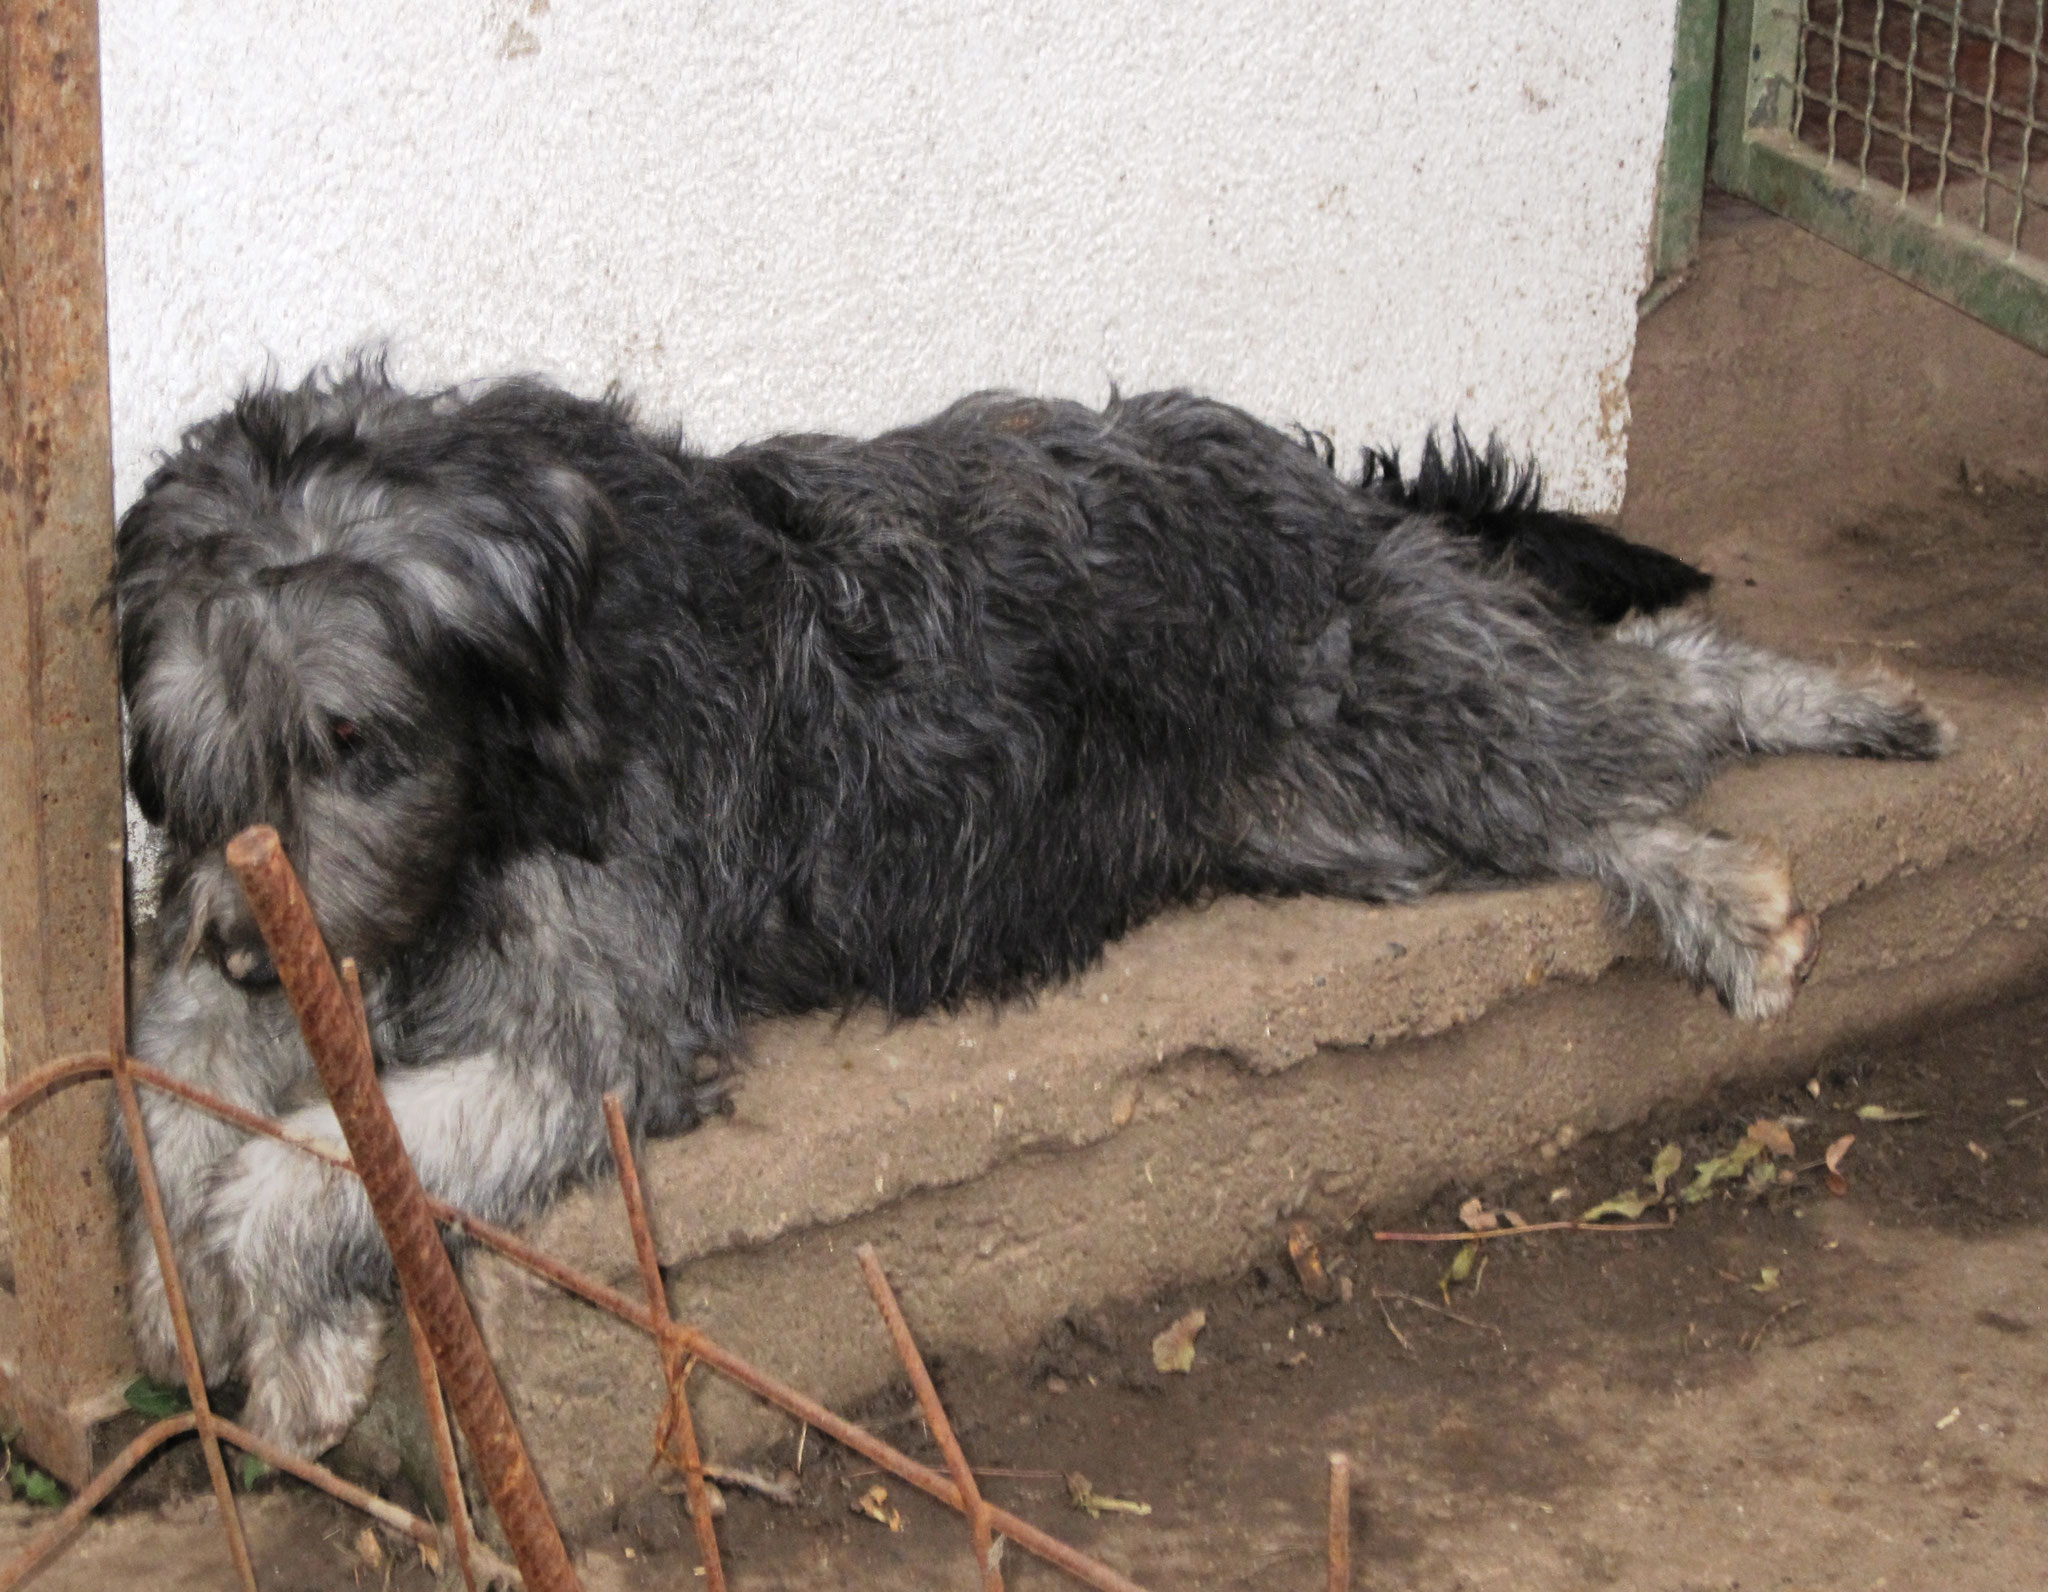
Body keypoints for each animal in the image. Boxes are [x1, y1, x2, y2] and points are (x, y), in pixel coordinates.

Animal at [112, 362, 1949, 1450]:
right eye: (186, 763)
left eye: (354, 738)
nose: (241, 940)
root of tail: (1326, 485)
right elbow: (172, 1098)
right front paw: (179, 1291)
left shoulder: (596, 1039)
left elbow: (295, 1171)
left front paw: (291, 1353)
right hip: (1348, 822)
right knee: (1586, 793)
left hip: (1432, 717)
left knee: (1663, 690)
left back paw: (1825, 763)